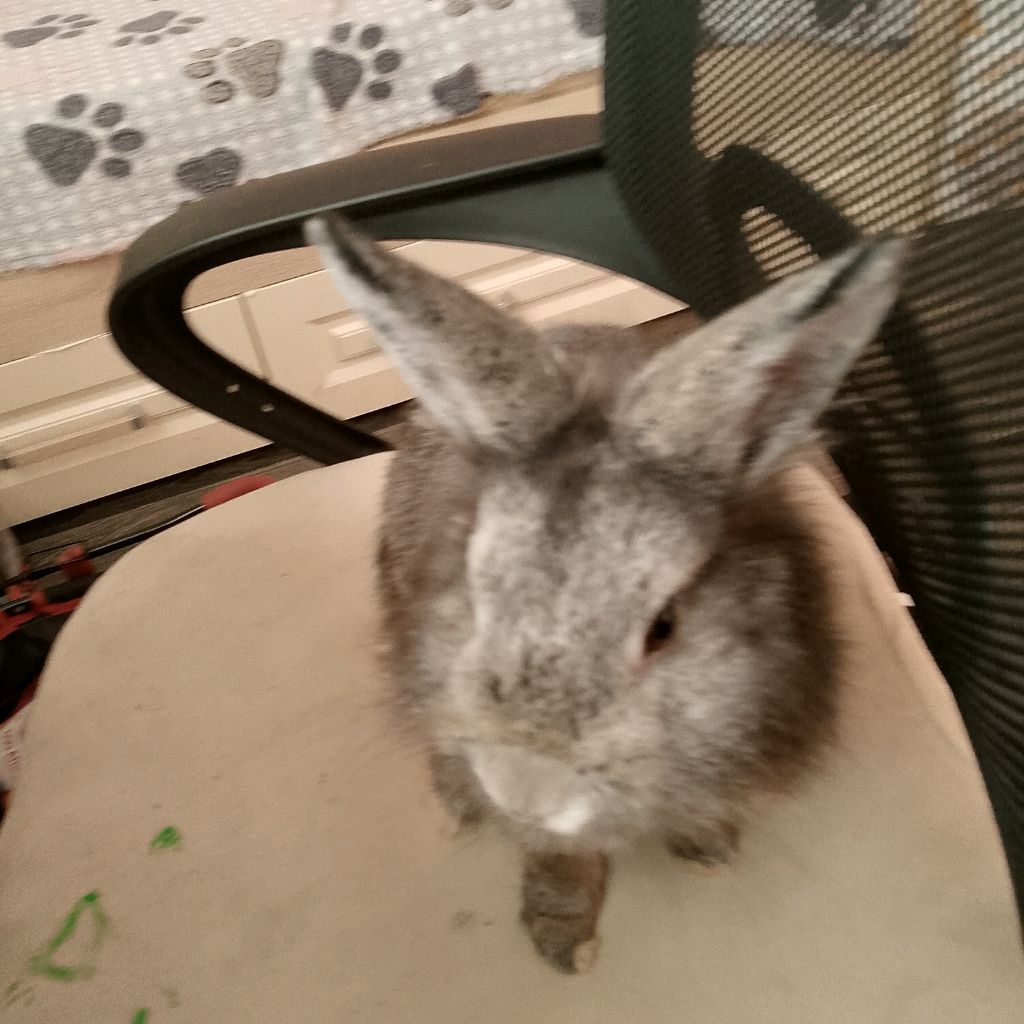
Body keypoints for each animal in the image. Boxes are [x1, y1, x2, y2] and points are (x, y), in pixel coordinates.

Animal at [305, 213, 904, 973]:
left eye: (665, 626)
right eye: (476, 590)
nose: (526, 788)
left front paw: (706, 849)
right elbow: (559, 858)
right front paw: (563, 936)